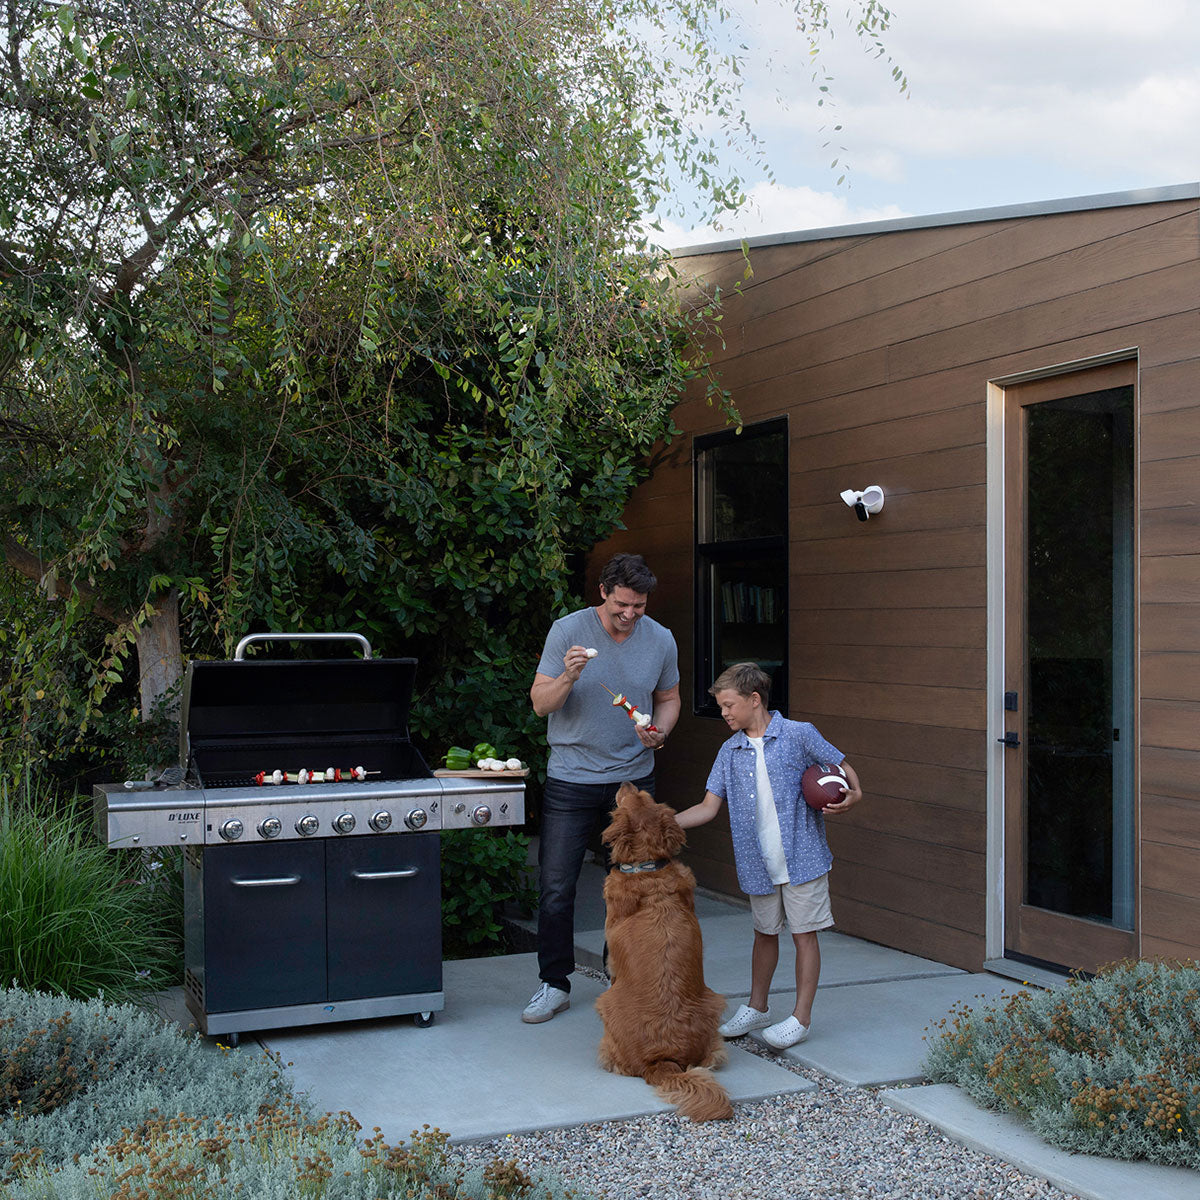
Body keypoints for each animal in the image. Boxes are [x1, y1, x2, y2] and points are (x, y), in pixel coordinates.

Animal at [594, 782, 733, 1121]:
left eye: (633, 797)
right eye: (646, 796)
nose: (627, 782)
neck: (647, 869)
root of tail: (663, 1058)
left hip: (605, 1003)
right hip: (713, 1002)